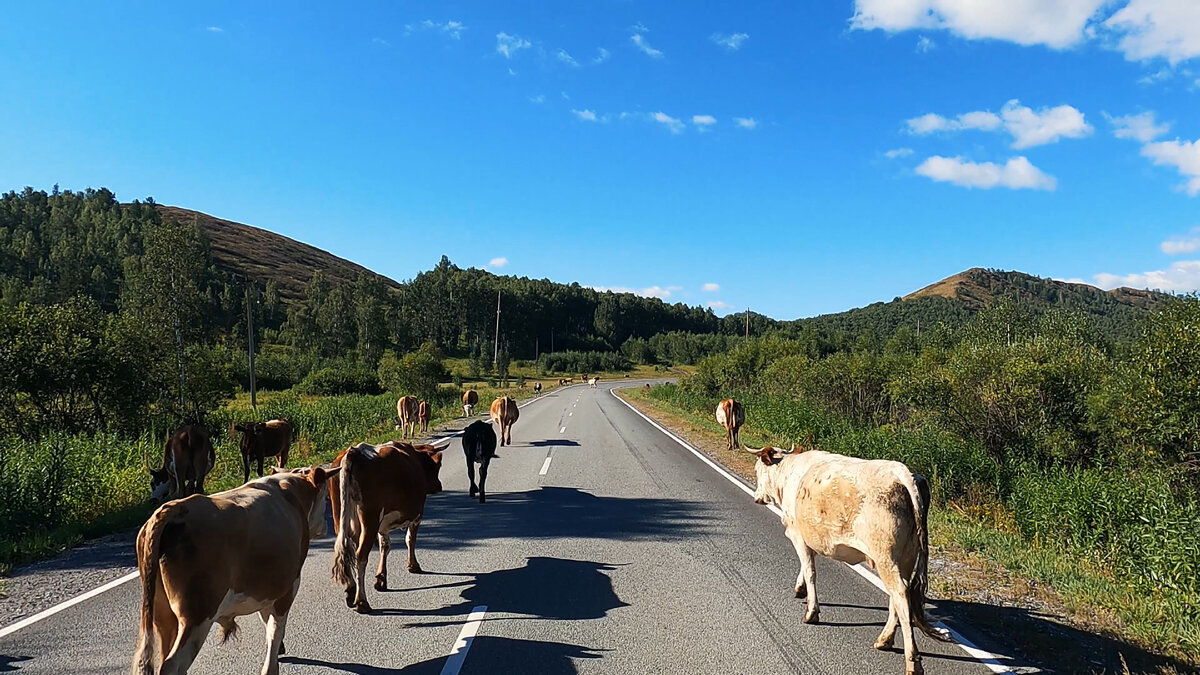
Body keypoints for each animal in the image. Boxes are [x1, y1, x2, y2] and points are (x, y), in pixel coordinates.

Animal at [130, 461, 338, 672]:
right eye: (324, 495)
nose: (325, 526)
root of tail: (176, 506)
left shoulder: (267, 590)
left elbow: (267, 622)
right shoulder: (288, 588)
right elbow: (275, 629)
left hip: (162, 614)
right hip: (197, 615)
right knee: (171, 664)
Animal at [331, 439, 444, 612]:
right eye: (438, 466)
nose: (439, 486)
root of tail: (354, 452)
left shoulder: (383, 525)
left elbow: (385, 546)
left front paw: (381, 579)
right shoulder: (417, 515)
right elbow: (410, 539)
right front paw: (413, 565)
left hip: (340, 517)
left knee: (345, 547)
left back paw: (351, 590)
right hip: (370, 520)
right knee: (360, 556)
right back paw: (361, 602)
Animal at [744, 444, 950, 667]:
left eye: (757, 470)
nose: (756, 497)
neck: (788, 474)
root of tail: (903, 472)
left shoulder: (797, 533)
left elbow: (810, 570)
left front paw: (811, 612)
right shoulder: (811, 536)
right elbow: (806, 566)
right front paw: (800, 588)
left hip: (886, 557)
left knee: (900, 594)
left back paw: (912, 661)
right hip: (906, 557)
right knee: (897, 596)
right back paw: (884, 640)